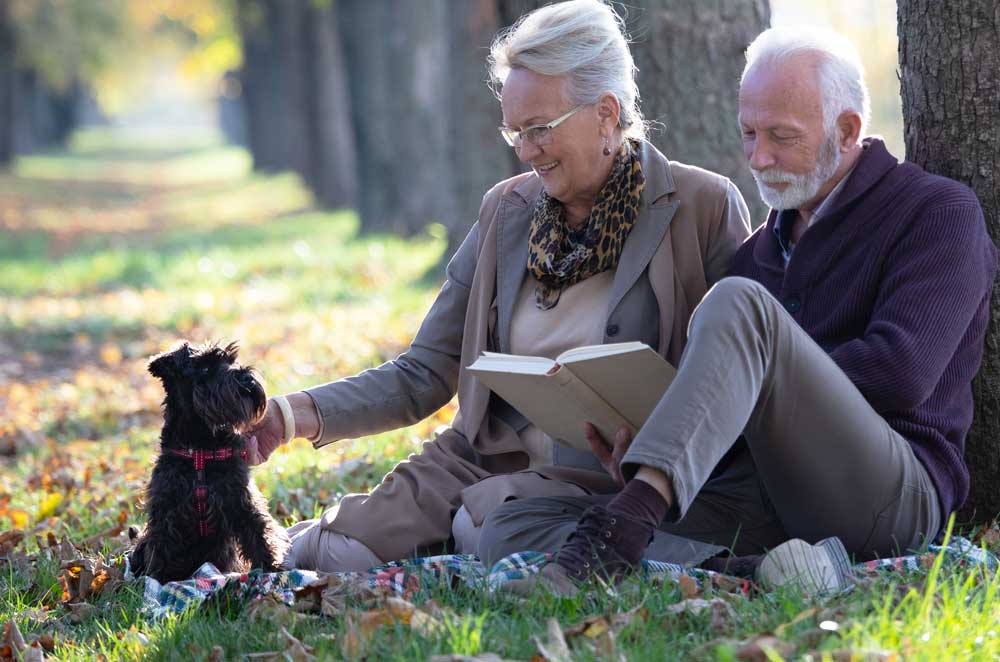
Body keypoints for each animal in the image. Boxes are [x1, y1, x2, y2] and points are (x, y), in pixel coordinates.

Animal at [129, 344, 290, 584]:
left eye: (232, 360)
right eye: (204, 367)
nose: (246, 378)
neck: (201, 451)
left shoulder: (242, 501)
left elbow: (260, 536)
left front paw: (272, 570)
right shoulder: (166, 510)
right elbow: (162, 547)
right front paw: (160, 581)